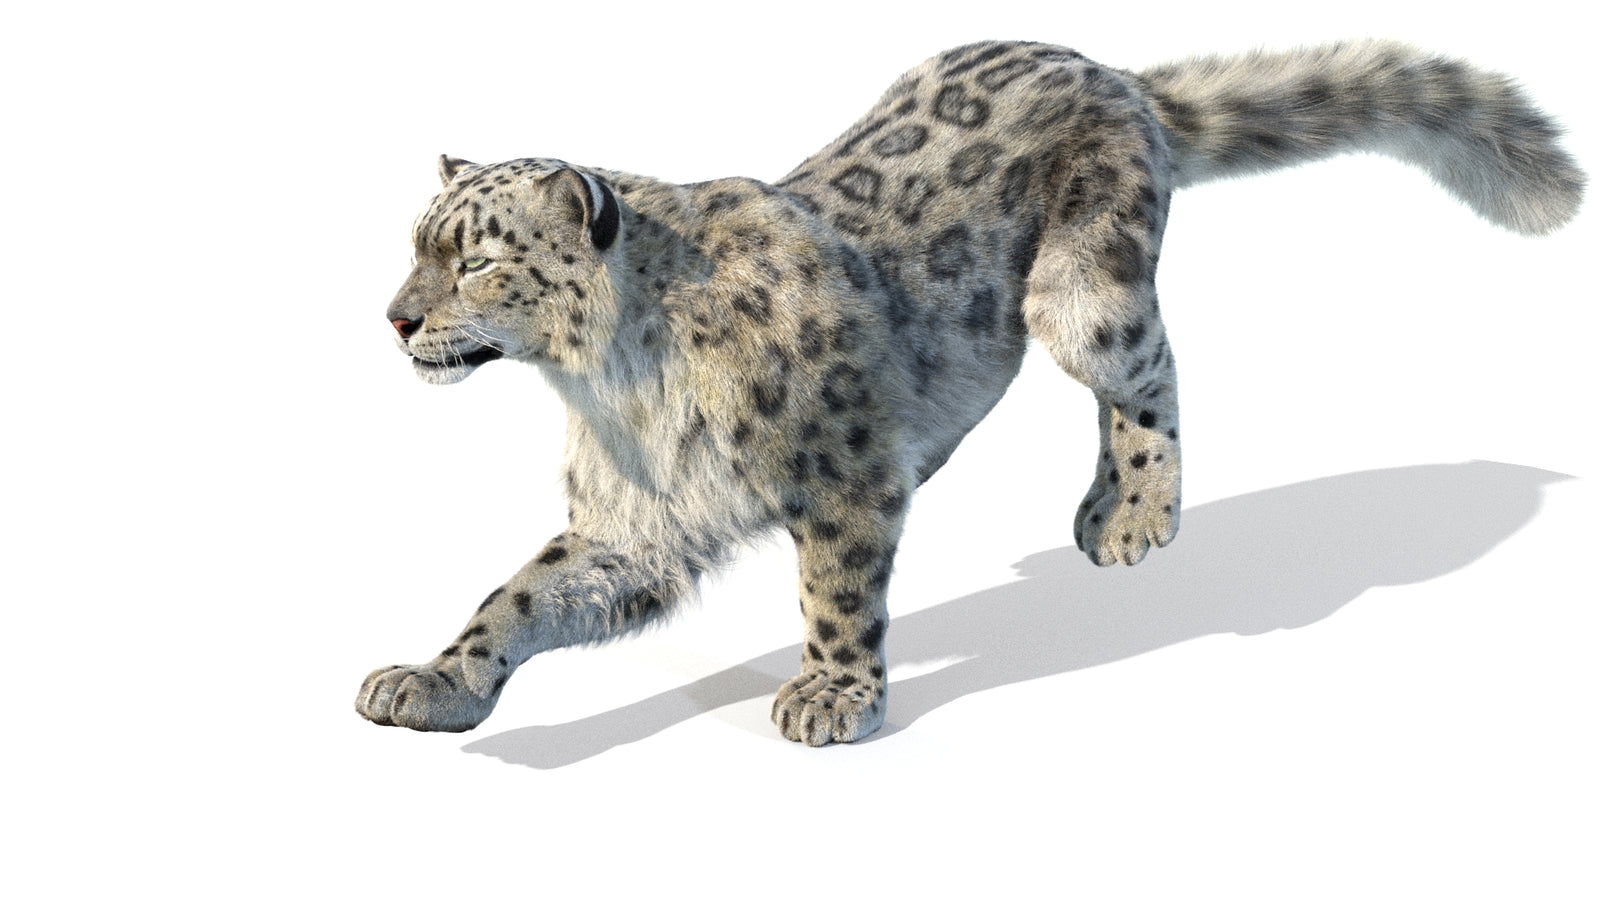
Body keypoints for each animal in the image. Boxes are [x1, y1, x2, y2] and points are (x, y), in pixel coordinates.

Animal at [356, 39, 1583, 746]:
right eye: (417, 246)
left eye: (476, 260)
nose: (397, 319)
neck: (614, 386)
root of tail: (1107, 69)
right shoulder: (639, 521)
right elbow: (518, 596)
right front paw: (432, 683)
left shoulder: (845, 479)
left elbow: (836, 593)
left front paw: (832, 698)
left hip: (1084, 296)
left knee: (1151, 373)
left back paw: (1130, 516)